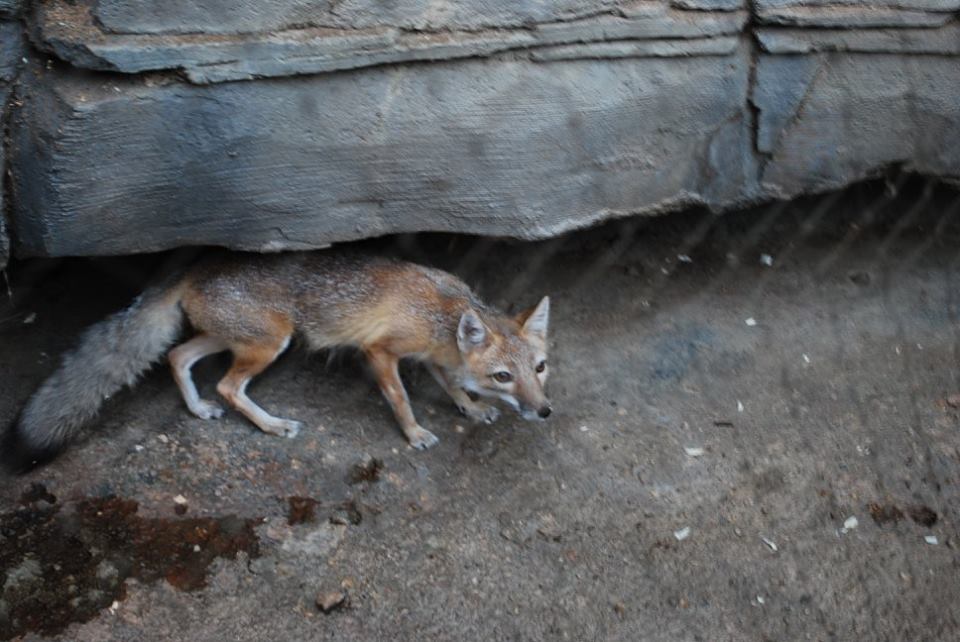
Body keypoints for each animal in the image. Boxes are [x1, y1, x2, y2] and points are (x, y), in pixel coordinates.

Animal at [3, 250, 552, 470]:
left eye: (540, 369)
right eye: (504, 375)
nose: (545, 411)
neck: (444, 313)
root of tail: (200, 264)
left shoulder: (433, 353)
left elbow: (451, 382)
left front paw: (471, 407)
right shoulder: (381, 351)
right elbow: (399, 398)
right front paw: (415, 432)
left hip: (233, 339)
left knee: (178, 355)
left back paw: (198, 409)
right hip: (270, 343)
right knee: (227, 385)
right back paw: (271, 424)